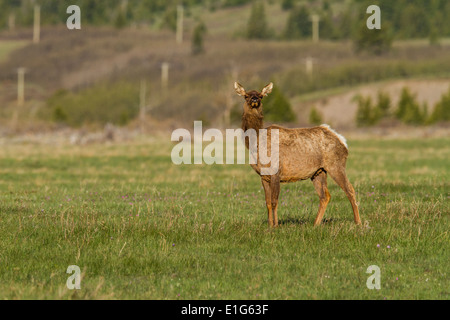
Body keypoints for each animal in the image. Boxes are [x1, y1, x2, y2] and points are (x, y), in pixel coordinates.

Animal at [234, 82, 360, 228]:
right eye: (246, 95)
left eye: (261, 95)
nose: (254, 99)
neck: (256, 145)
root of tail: (342, 141)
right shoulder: (263, 176)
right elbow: (267, 203)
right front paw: (270, 225)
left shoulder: (276, 171)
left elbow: (274, 201)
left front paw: (276, 226)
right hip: (318, 172)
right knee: (325, 196)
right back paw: (315, 224)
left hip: (336, 165)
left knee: (350, 189)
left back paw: (358, 222)